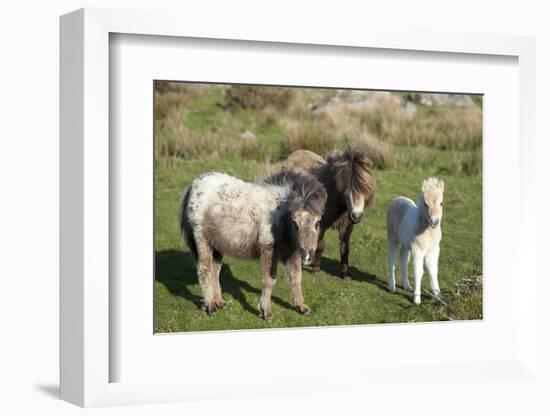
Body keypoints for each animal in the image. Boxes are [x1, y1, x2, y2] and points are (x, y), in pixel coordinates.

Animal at [284, 146, 380, 280]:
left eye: (365, 188)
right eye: (346, 188)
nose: (357, 216)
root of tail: (295, 153)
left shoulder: (347, 226)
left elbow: (345, 248)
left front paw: (345, 273)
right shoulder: (321, 225)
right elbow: (320, 246)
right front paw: (316, 269)